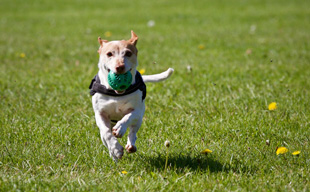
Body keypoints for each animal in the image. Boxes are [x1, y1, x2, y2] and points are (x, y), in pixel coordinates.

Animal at [89, 31, 174, 160]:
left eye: (128, 53)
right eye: (109, 54)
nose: (120, 67)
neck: (116, 94)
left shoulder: (137, 110)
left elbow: (128, 117)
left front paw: (120, 128)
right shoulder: (100, 113)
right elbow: (106, 133)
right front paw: (116, 149)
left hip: (139, 119)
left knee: (133, 131)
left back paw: (130, 145)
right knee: (104, 136)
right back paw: (113, 154)